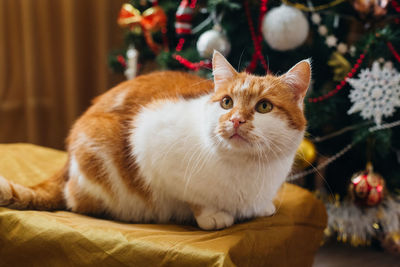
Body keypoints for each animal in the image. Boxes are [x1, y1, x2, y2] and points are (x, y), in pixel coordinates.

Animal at [0, 51, 310, 230]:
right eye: (226, 102)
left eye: (264, 107)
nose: (235, 120)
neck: (246, 169)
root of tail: (68, 161)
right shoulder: (150, 141)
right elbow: (192, 196)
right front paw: (212, 215)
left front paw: (262, 207)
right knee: (75, 198)